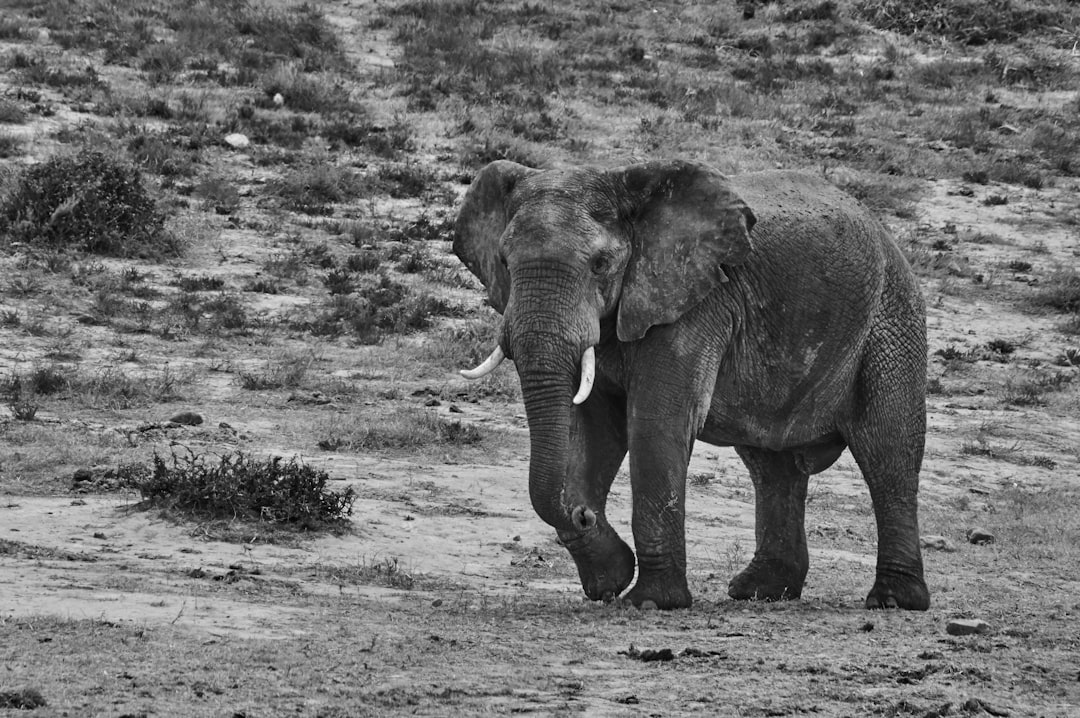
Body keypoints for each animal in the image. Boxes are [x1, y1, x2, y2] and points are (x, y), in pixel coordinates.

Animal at [451, 158, 933, 608]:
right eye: (504, 262)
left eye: (600, 264)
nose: (583, 514)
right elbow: (594, 430)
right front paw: (608, 580)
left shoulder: (698, 302)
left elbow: (655, 424)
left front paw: (650, 601)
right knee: (771, 465)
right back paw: (761, 591)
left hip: (892, 319)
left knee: (887, 451)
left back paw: (894, 600)